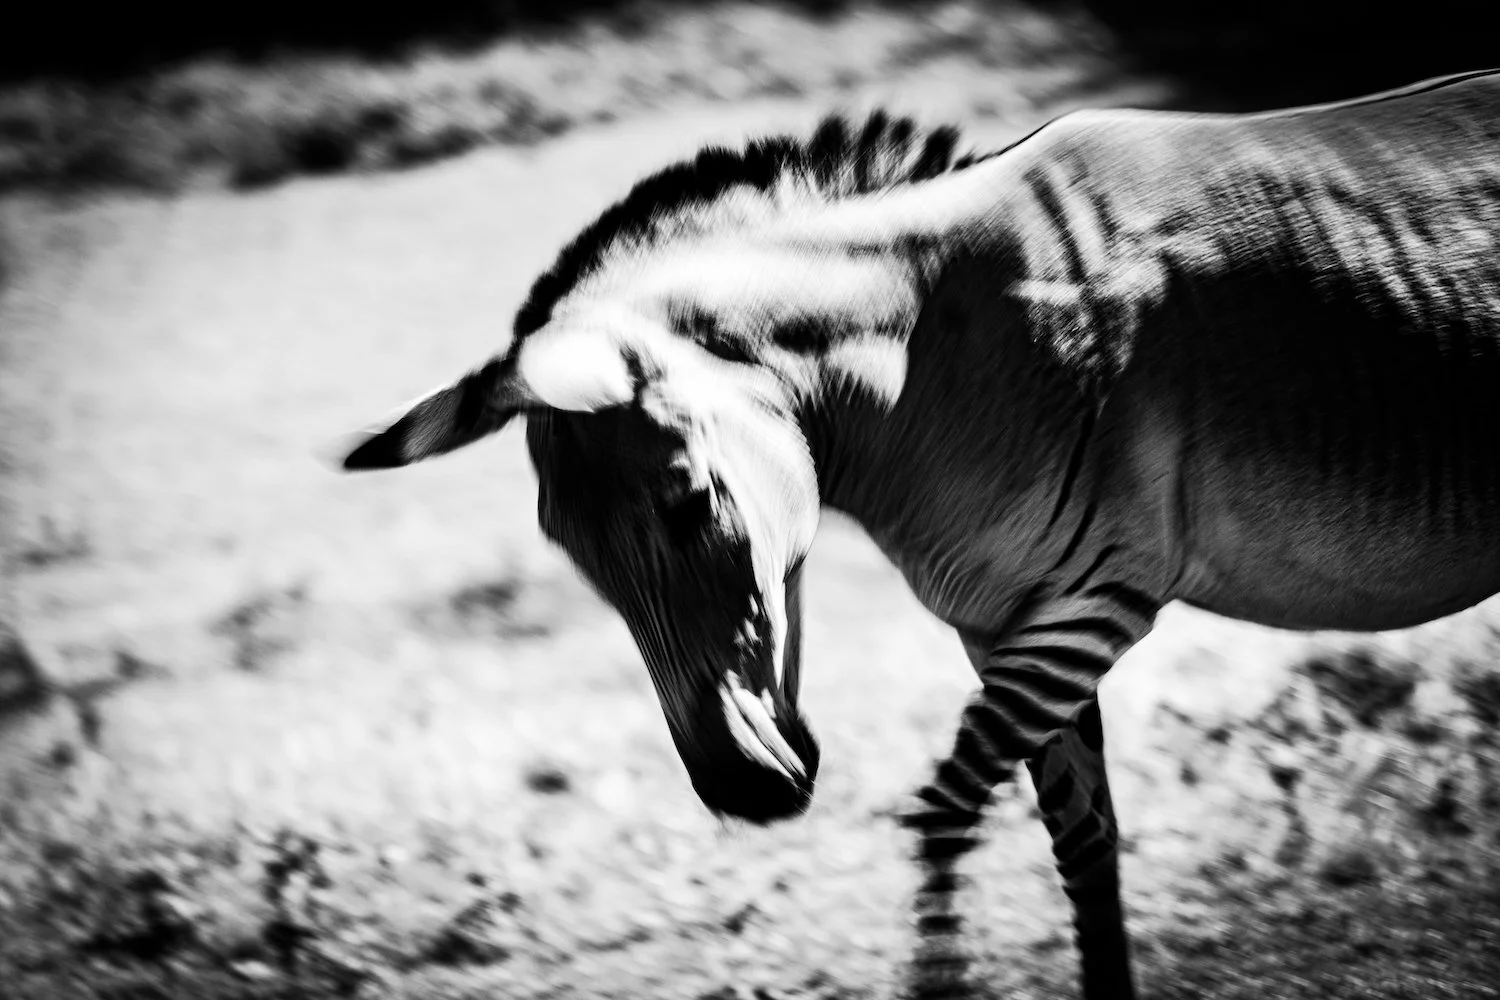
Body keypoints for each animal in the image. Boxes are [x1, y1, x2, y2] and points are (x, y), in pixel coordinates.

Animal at [339, 68, 1500, 998]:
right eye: (567, 553)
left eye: (689, 502)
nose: (741, 793)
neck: (929, 364)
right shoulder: (1004, 623)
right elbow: (1085, 848)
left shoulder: (1095, 599)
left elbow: (944, 810)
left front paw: (942, 978)